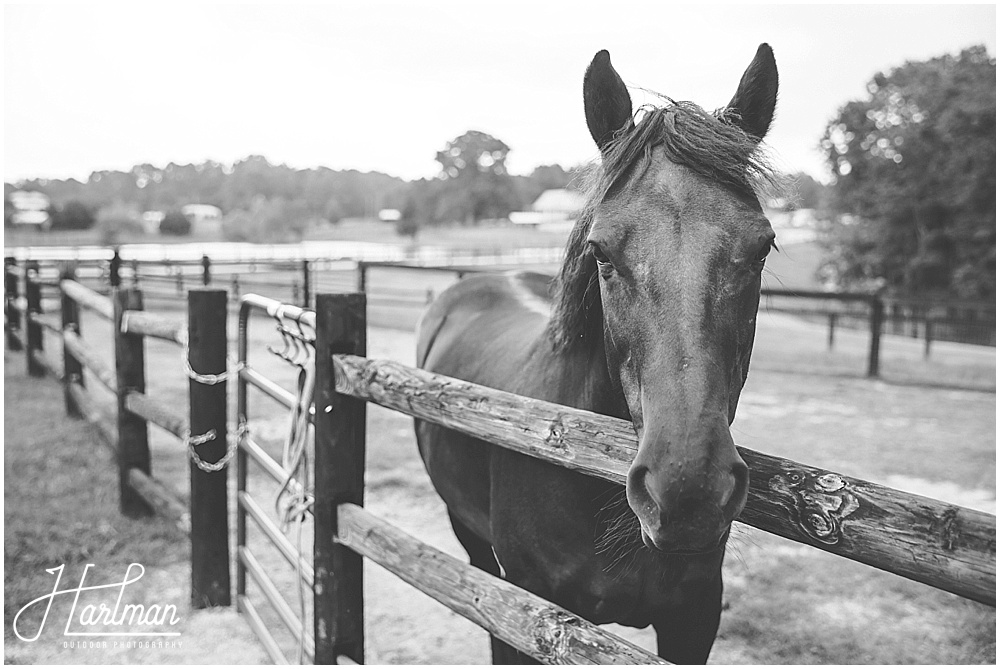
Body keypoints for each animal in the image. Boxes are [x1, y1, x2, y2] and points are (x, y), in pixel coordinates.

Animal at [414, 45, 780, 664]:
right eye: (602, 252)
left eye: (763, 246)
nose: (688, 491)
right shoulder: (524, 608)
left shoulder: (693, 620)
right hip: (471, 541)